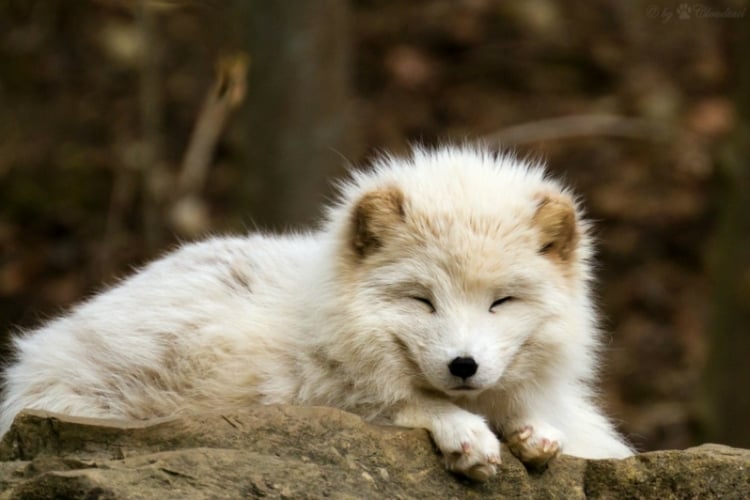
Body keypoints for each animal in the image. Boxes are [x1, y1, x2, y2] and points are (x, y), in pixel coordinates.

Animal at [0, 146, 636, 480]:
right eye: (421, 299)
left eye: (500, 301)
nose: (463, 365)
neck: (323, 314)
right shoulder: (307, 391)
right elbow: (399, 403)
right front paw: (465, 434)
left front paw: (534, 430)